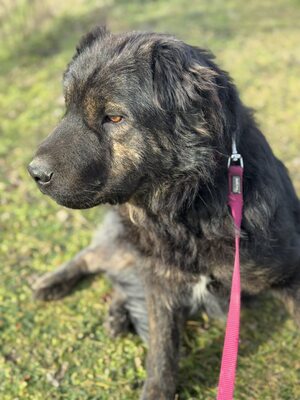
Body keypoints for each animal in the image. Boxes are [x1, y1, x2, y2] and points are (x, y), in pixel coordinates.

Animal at [28, 28, 300, 400]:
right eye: (67, 108)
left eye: (114, 118)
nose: (34, 173)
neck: (189, 208)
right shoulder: (161, 287)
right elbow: (162, 355)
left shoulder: (289, 275)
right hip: (127, 247)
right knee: (93, 256)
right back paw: (50, 284)